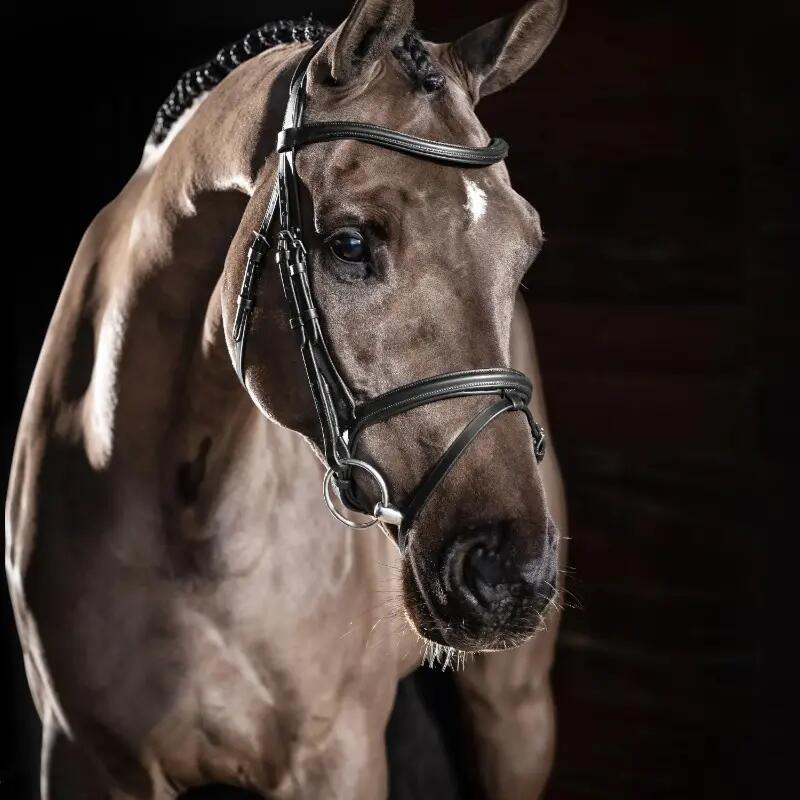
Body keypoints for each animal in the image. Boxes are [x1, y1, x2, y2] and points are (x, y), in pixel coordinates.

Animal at [5, 1, 568, 797]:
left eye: (525, 249)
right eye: (350, 244)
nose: (508, 569)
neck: (190, 514)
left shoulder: (336, 760)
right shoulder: (84, 760)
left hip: (514, 709)